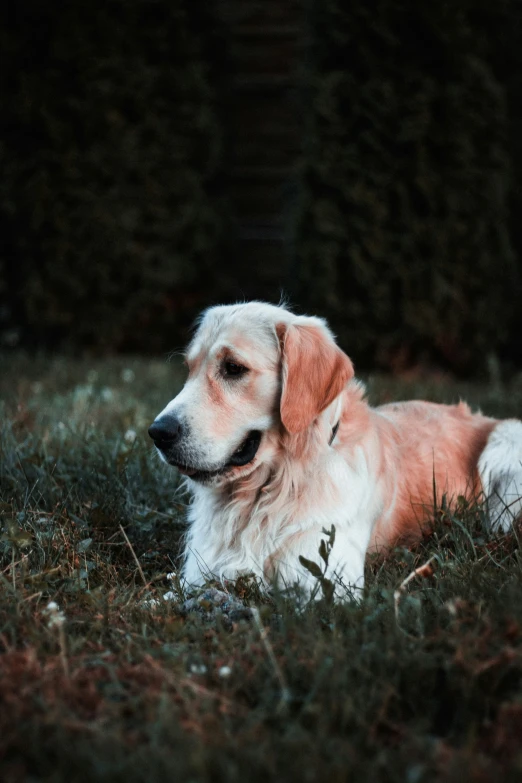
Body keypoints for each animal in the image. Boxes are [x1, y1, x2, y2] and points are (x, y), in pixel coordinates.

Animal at [145, 304, 520, 596]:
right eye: (189, 370)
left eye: (233, 368)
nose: (157, 432)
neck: (271, 489)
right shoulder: (198, 573)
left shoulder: (326, 584)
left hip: (506, 440)